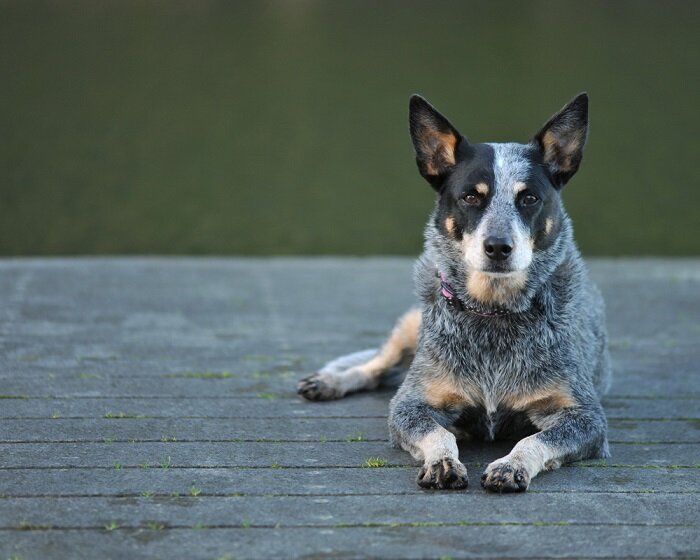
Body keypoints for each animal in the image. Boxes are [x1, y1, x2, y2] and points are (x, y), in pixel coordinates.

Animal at [298, 94, 608, 492]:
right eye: (471, 197)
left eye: (529, 199)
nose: (498, 247)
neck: (493, 313)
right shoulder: (410, 405)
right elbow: (437, 432)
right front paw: (443, 461)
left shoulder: (585, 416)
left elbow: (535, 439)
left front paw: (511, 465)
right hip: (411, 323)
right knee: (377, 365)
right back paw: (330, 382)